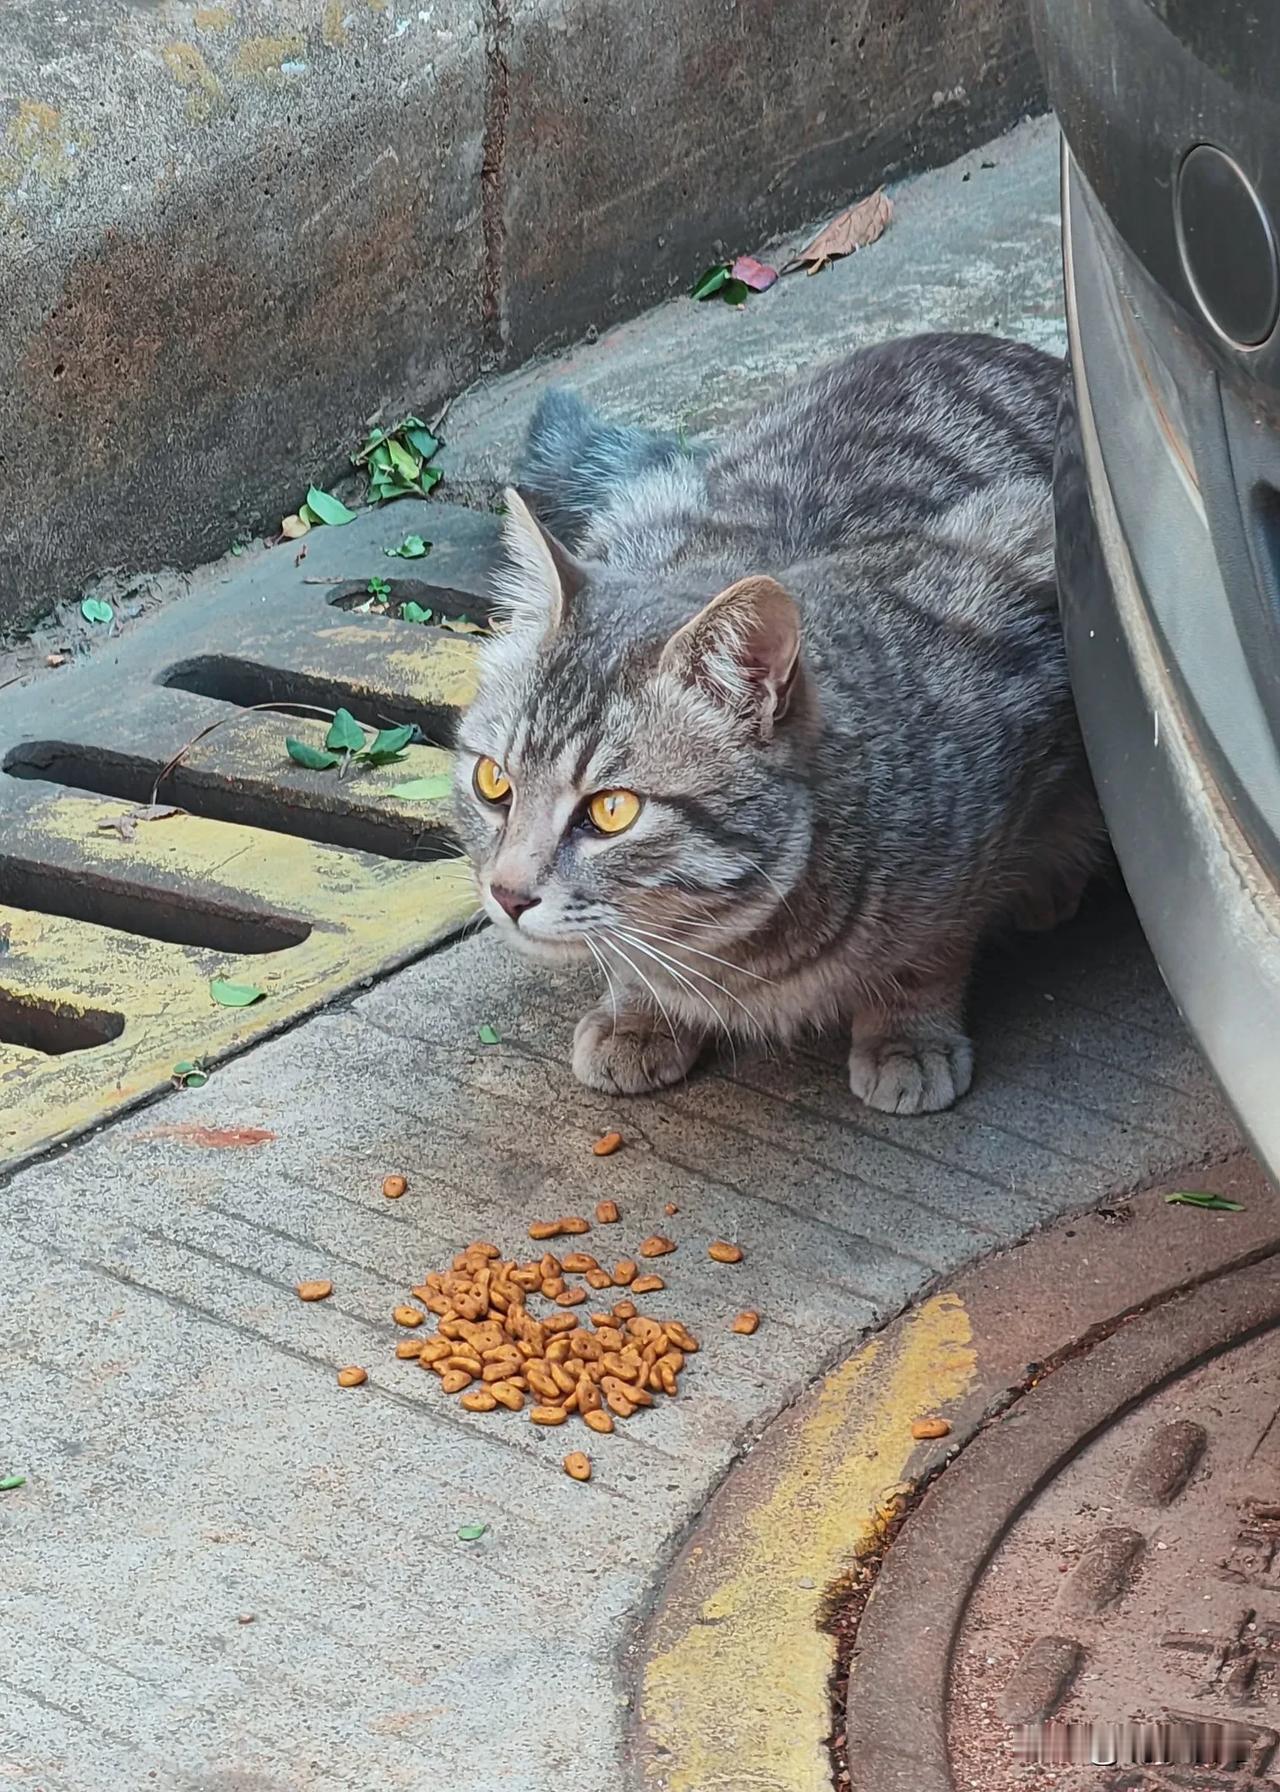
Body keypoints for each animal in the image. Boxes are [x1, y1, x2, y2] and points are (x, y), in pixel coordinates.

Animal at [453, 324, 1104, 1103]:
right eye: (493, 782)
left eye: (612, 810)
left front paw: (907, 1033)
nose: (507, 894)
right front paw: (640, 1011)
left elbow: (932, 944)